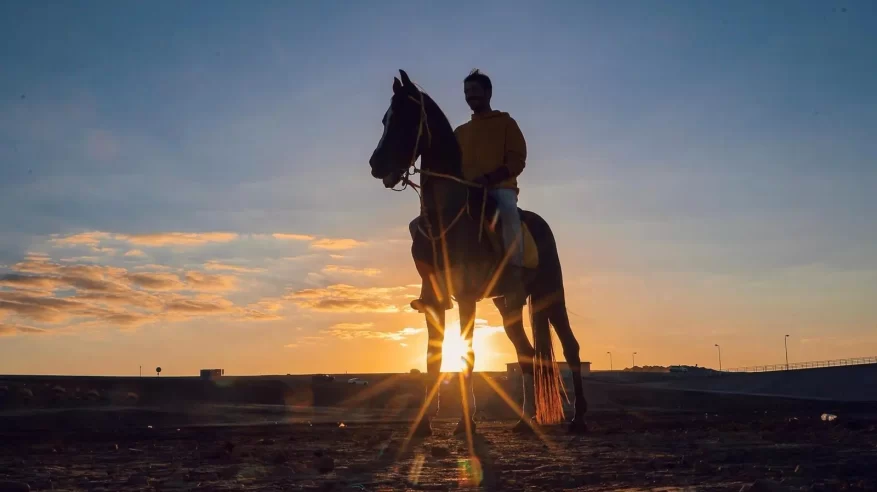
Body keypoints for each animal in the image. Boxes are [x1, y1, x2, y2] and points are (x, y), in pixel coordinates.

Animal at [366, 70, 584, 434]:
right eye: (385, 119)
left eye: (406, 118)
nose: (376, 164)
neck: (446, 219)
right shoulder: (434, 303)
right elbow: (434, 359)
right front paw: (424, 424)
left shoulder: (466, 298)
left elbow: (467, 357)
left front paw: (466, 424)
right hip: (508, 304)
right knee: (525, 354)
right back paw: (525, 421)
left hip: (550, 295)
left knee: (571, 346)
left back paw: (580, 418)